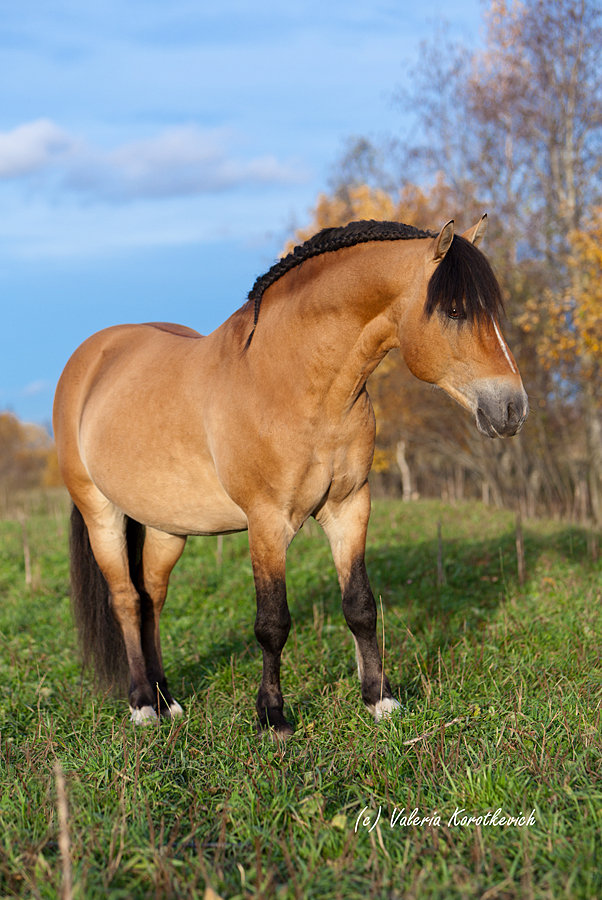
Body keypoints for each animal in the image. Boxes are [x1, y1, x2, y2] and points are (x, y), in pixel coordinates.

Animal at [55, 214, 524, 736]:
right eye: (456, 311)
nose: (512, 409)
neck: (294, 383)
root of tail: (93, 357)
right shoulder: (267, 522)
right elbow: (272, 623)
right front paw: (272, 715)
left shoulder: (349, 507)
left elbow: (360, 606)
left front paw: (380, 700)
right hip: (101, 513)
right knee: (126, 600)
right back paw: (141, 705)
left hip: (166, 525)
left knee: (152, 598)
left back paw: (166, 699)